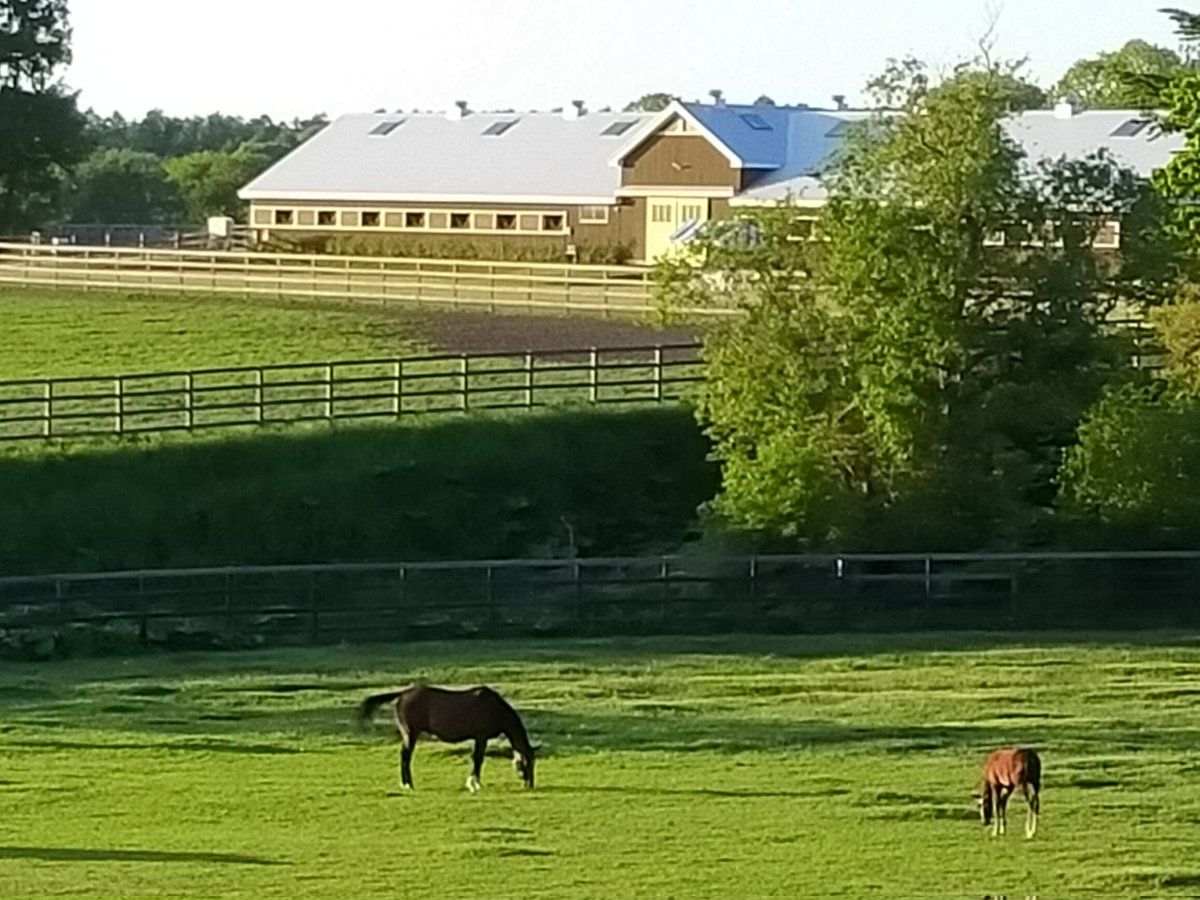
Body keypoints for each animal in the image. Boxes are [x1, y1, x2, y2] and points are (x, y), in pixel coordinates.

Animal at [352, 686, 537, 792]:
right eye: (527, 762)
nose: (530, 784)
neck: (494, 707)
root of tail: (403, 694)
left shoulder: (479, 738)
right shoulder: (481, 737)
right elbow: (478, 759)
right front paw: (474, 784)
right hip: (411, 734)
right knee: (405, 756)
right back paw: (408, 784)